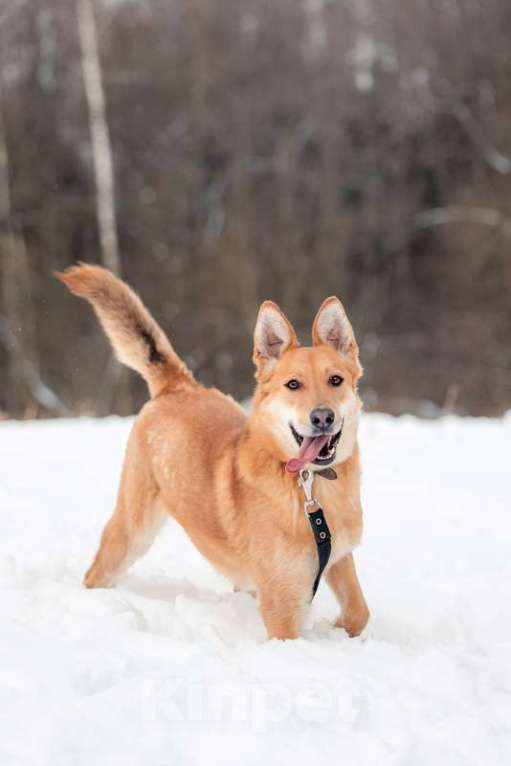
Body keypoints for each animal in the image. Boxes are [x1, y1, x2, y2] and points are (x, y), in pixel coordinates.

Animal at [58, 266, 370, 640]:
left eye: (335, 380)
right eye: (293, 385)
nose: (322, 417)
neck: (307, 488)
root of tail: (179, 385)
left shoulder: (338, 558)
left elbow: (359, 612)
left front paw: (339, 629)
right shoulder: (282, 607)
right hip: (133, 530)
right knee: (96, 571)